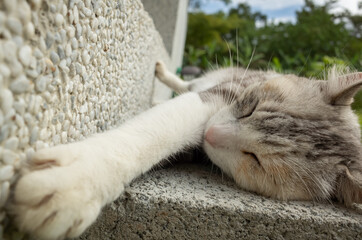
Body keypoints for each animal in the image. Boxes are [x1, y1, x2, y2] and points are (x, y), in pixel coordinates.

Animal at [11, 61, 362, 239]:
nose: (210, 133)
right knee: (187, 85)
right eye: (250, 107)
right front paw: (80, 180)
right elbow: (163, 125)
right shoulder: (219, 95)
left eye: (256, 161)